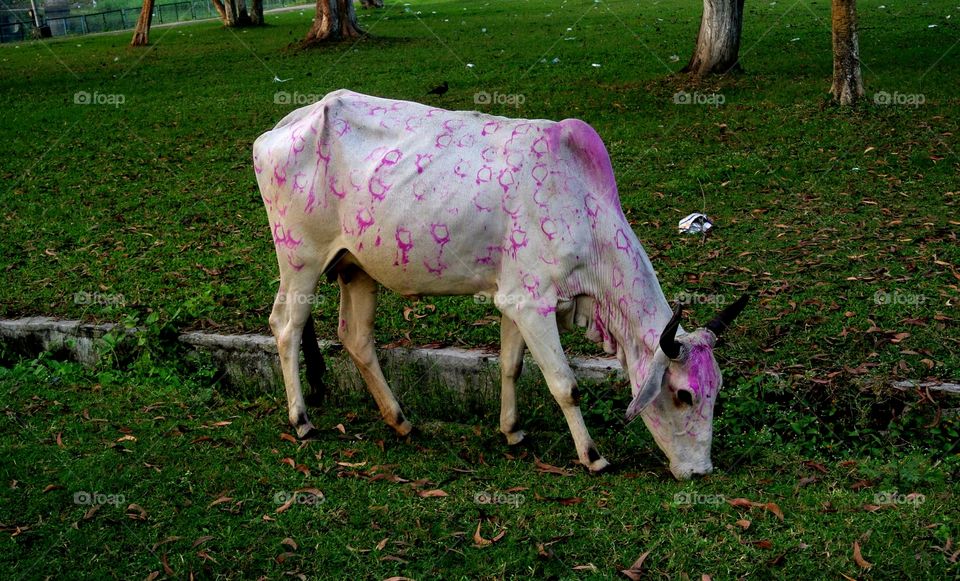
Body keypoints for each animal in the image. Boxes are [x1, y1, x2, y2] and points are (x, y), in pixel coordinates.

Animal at [251, 90, 748, 478]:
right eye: (683, 395)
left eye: (718, 390)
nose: (701, 471)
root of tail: (281, 126)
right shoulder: (533, 304)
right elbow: (564, 383)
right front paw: (593, 456)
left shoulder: (515, 300)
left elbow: (512, 366)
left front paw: (512, 431)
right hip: (300, 261)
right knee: (285, 326)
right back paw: (302, 419)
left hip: (356, 268)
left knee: (355, 337)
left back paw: (400, 420)